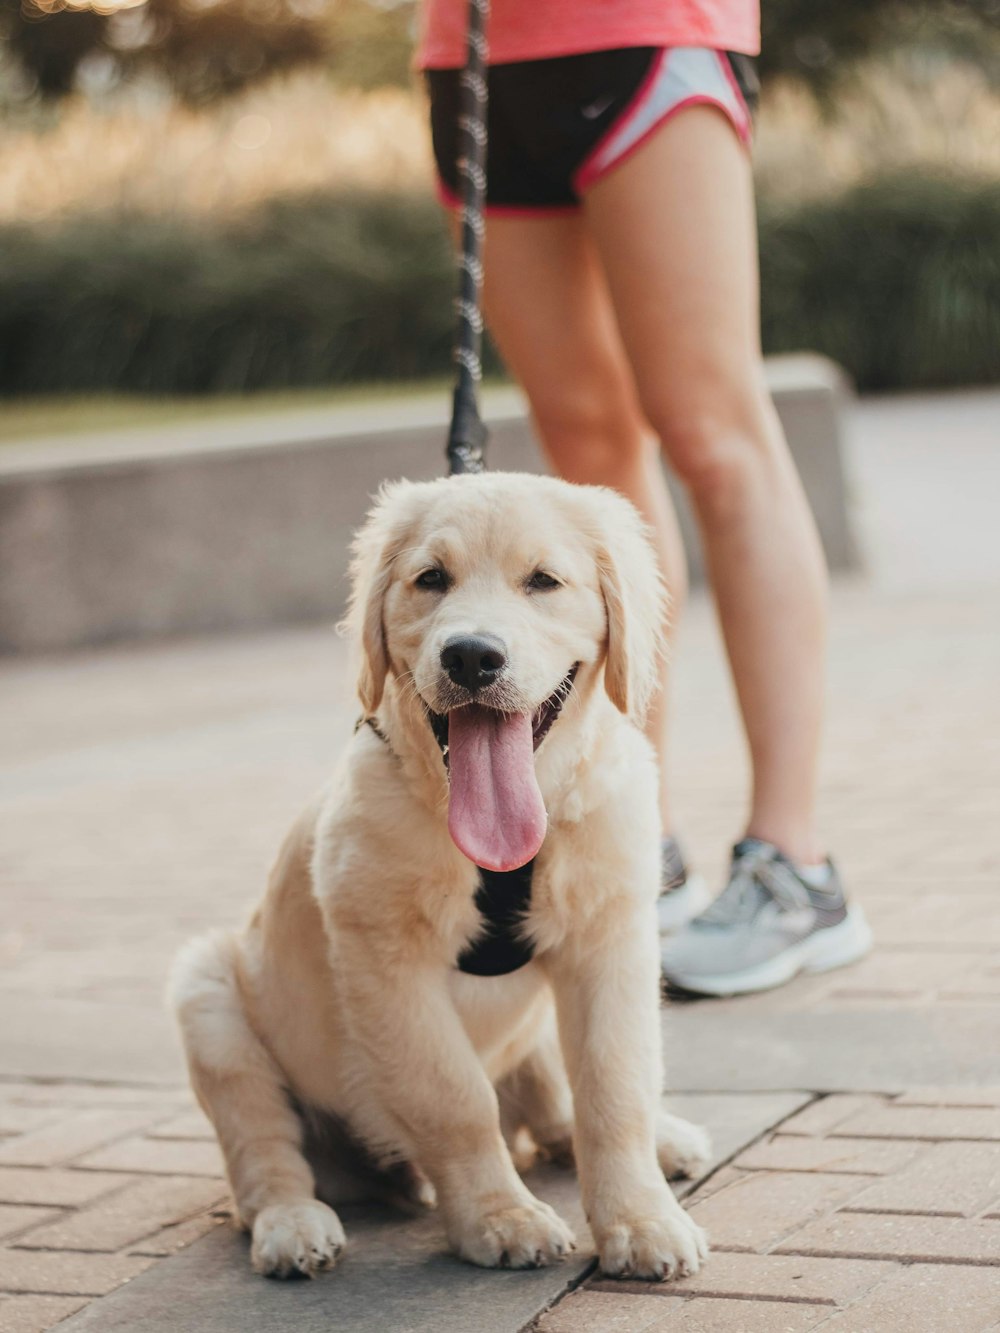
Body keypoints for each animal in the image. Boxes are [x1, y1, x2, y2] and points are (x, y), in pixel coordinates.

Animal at [170, 474, 714, 1285]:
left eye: (543, 581)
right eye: (431, 579)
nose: (471, 657)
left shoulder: (610, 939)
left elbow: (614, 1085)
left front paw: (640, 1220)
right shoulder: (386, 962)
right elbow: (454, 1099)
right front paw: (500, 1218)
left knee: (554, 1102)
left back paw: (664, 1139)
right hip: (208, 999)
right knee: (264, 1157)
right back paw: (294, 1225)